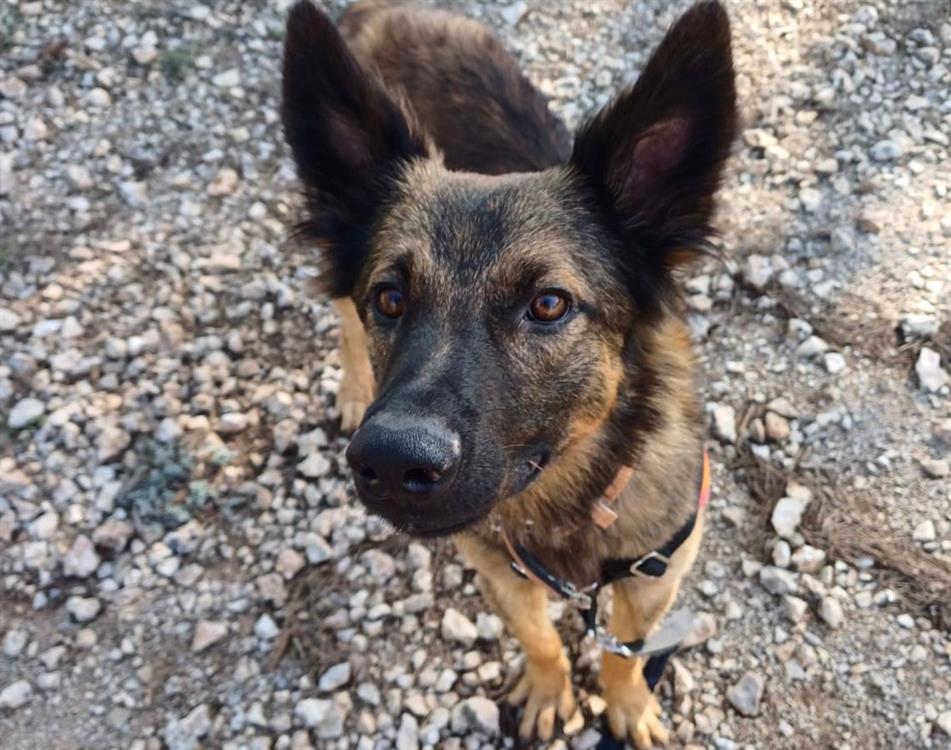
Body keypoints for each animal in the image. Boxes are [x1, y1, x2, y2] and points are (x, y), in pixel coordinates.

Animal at [281, 0, 736, 746]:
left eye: (548, 304)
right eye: (391, 298)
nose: (389, 462)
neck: (573, 497)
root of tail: (386, 11)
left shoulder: (654, 576)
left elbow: (623, 655)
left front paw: (628, 704)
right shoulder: (496, 568)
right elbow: (541, 638)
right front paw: (552, 689)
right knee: (338, 315)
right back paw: (351, 388)